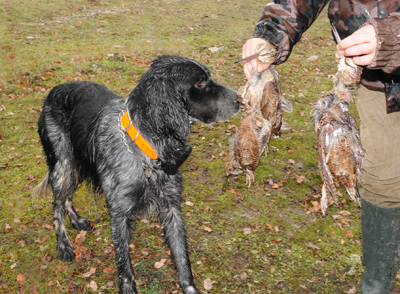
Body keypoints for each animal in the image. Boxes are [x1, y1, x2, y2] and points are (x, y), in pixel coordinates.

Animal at [34, 55, 238, 294]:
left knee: (67, 196)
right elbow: (124, 266)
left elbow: (182, 258)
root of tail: (54, 90)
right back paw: (63, 244)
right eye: (199, 82)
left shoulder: (171, 207)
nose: (240, 99)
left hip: (77, 164)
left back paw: (77, 220)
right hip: (63, 164)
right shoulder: (119, 214)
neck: (147, 155)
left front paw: (190, 288)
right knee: (57, 202)